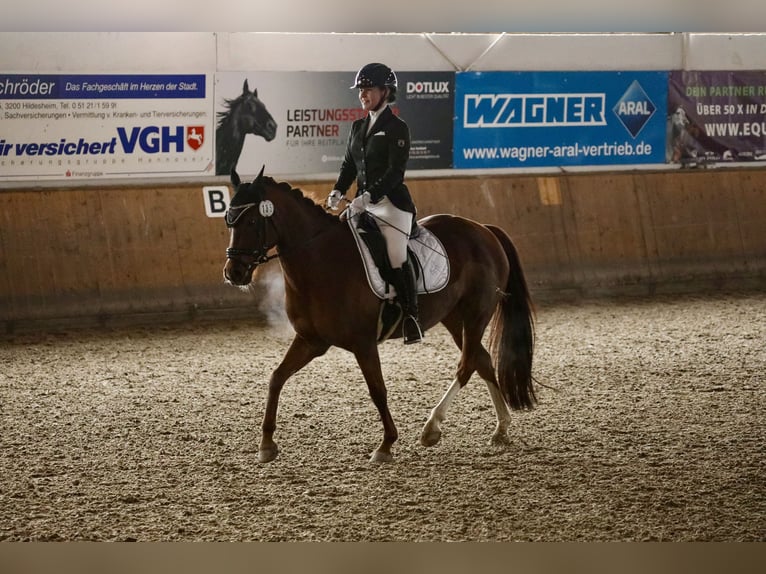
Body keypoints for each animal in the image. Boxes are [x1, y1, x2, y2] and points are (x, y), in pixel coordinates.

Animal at [225, 166, 536, 464]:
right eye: (229, 220)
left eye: (251, 222)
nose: (234, 273)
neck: (321, 260)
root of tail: (483, 229)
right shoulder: (311, 340)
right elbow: (276, 378)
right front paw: (266, 445)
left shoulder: (363, 343)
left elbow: (377, 390)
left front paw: (386, 445)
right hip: (454, 318)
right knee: (482, 360)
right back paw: (501, 428)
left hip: (475, 314)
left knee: (467, 364)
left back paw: (432, 427)